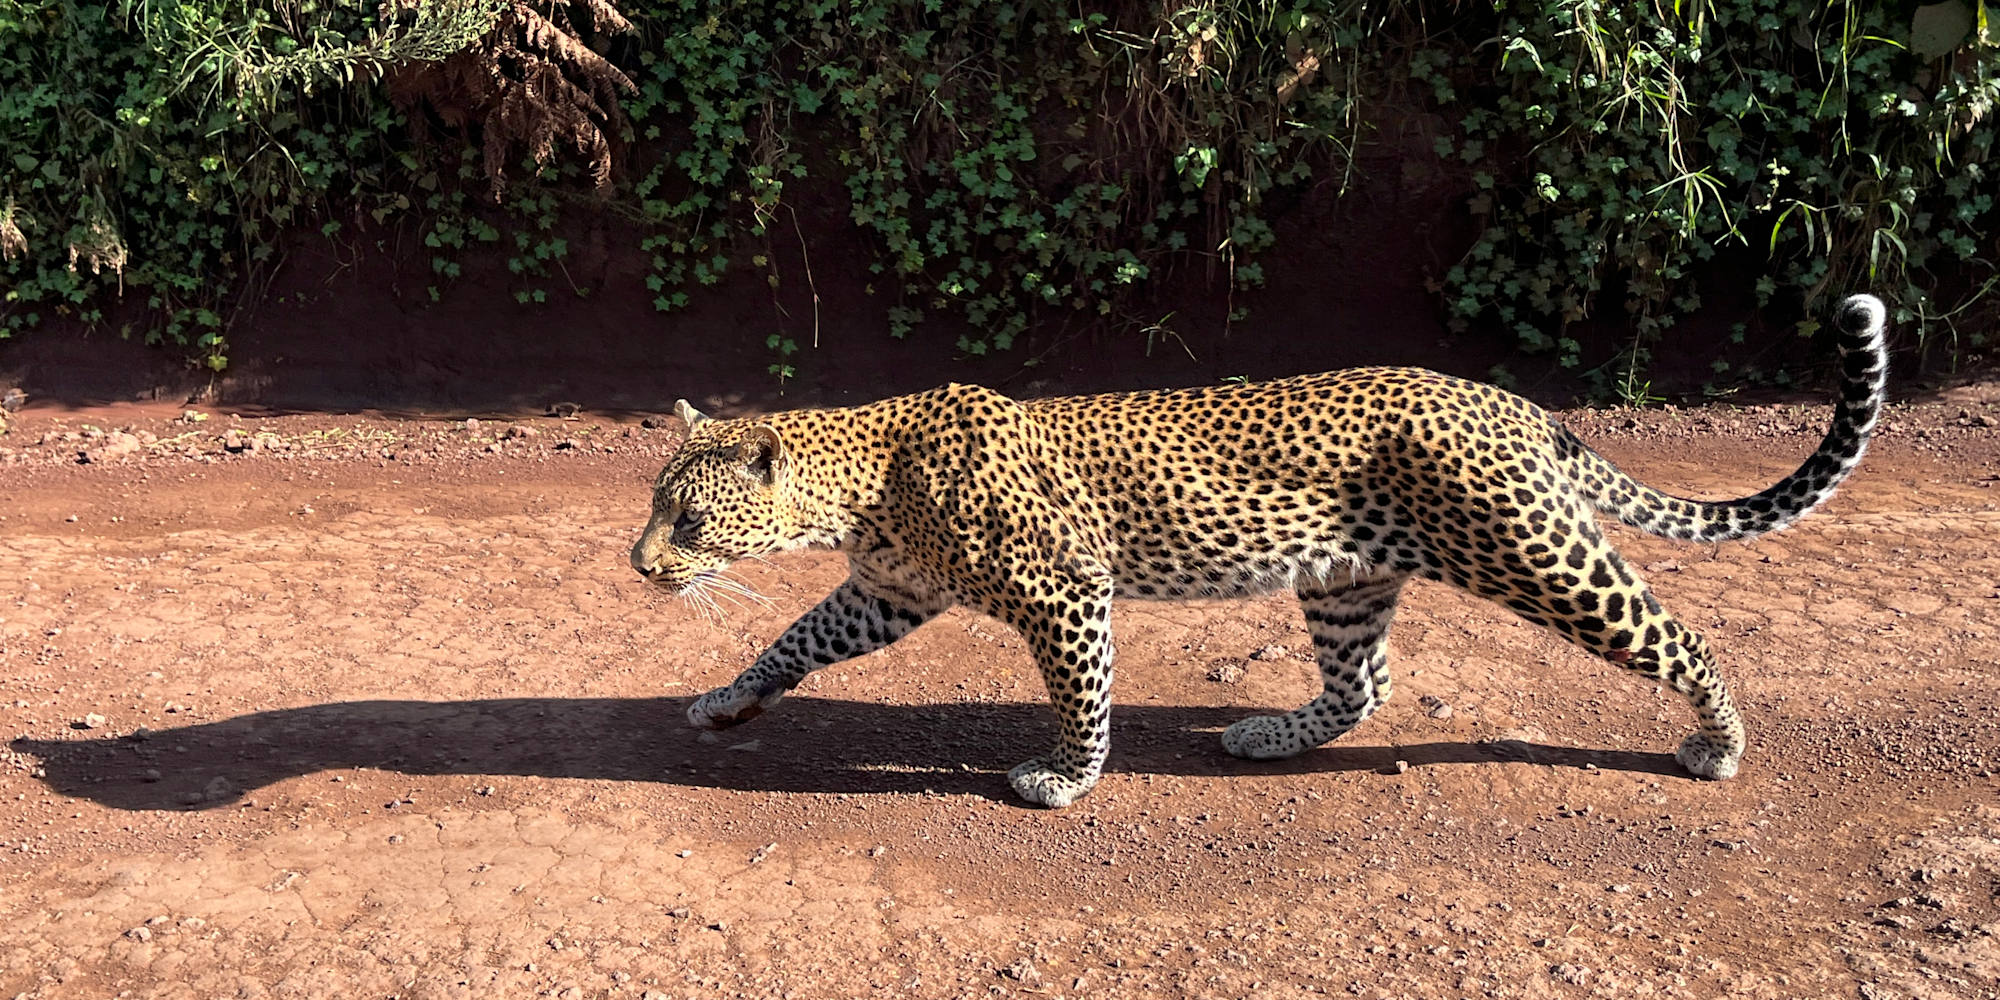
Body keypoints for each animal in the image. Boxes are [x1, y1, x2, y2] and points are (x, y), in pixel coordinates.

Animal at [631, 293, 1888, 808]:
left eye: (685, 520)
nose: (639, 567)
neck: (866, 485)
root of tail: (1513, 404)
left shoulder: (1063, 591)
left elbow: (1080, 698)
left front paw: (1065, 778)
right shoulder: (886, 594)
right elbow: (793, 639)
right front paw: (726, 700)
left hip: (1536, 556)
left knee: (1678, 634)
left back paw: (1716, 744)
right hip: (1348, 578)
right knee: (1362, 683)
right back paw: (1267, 734)